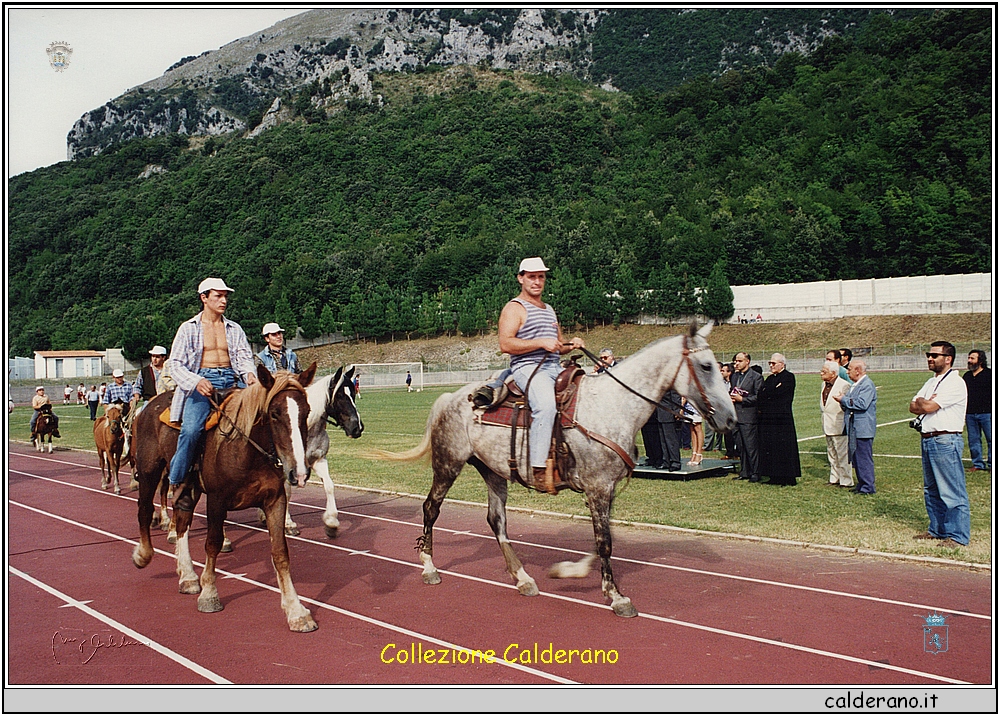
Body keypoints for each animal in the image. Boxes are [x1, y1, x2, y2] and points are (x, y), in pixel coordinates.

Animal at [132, 364, 320, 632]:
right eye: (274, 414)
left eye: (306, 411)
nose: (300, 473)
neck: (247, 450)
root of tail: (150, 406)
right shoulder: (217, 500)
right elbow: (213, 544)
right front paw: (209, 595)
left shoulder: (275, 500)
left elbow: (280, 553)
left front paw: (296, 611)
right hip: (150, 471)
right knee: (145, 511)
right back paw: (143, 555)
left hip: (189, 488)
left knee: (182, 521)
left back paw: (188, 576)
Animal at [372, 324, 740, 616]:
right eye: (706, 365)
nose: (731, 420)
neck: (613, 405)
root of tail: (450, 396)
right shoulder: (598, 487)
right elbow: (605, 542)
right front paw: (616, 597)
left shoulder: (604, 488)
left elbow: (603, 539)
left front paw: (568, 572)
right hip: (448, 463)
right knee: (430, 509)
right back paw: (429, 568)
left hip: (493, 471)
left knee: (496, 521)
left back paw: (522, 578)